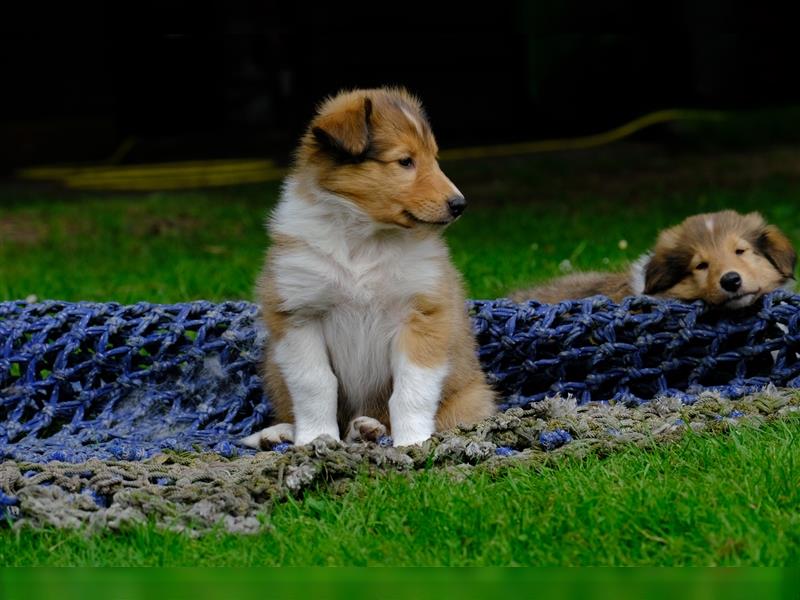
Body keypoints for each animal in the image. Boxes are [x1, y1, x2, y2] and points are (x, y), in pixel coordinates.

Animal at [241, 86, 496, 448]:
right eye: (405, 161)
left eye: (434, 157)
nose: (460, 204)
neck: (364, 238)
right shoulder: (299, 314)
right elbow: (315, 382)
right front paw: (316, 439)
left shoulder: (422, 315)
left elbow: (411, 388)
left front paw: (413, 444)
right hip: (276, 368)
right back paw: (283, 433)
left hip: (471, 396)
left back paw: (369, 429)